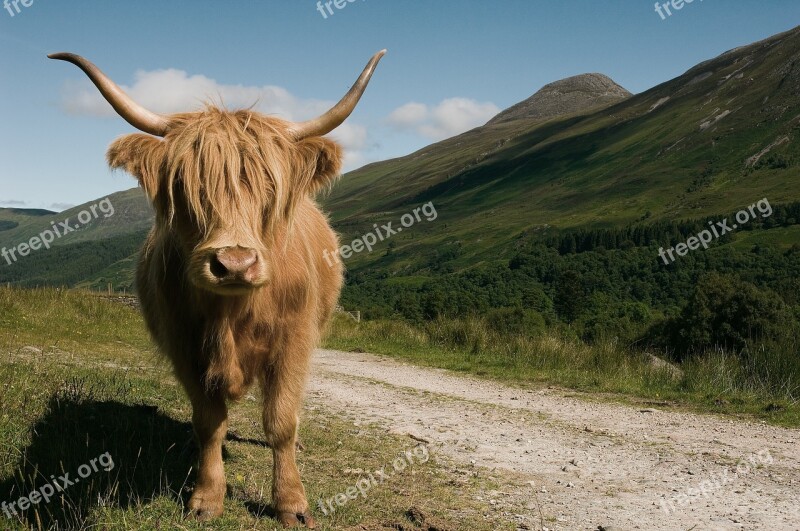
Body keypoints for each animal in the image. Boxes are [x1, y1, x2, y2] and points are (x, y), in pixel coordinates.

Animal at [50, 48, 388, 528]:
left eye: (270, 188)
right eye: (185, 186)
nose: (234, 264)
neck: (233, 316)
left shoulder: (294, 340)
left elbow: (281, 421)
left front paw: (291, 503)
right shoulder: (183, 346)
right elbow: (209, 422)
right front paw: (207, 497)